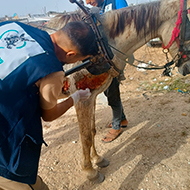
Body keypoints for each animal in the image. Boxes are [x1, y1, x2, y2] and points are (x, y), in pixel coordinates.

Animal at [43, 0, 189, 183]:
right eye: (188, 31)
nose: (187, 68)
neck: (101, 41)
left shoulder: (92, 96)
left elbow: (92, 131)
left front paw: (98, 159)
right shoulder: (82, 100)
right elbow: (85, 136)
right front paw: (90, 171)